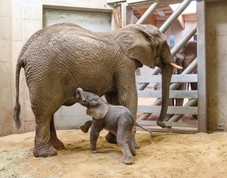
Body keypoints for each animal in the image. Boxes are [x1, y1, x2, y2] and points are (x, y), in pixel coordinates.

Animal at [13, 22, 181, 157]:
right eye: (164, 45)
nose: (164, 125)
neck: (135, 28)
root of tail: (24, 51)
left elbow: (114, 98)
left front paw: (112, 140)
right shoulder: (124, 63)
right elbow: (128, 96)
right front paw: (135, 146)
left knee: (49, 111)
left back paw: (58, 147)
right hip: (45, 72)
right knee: (45, 111)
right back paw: (47, 154)